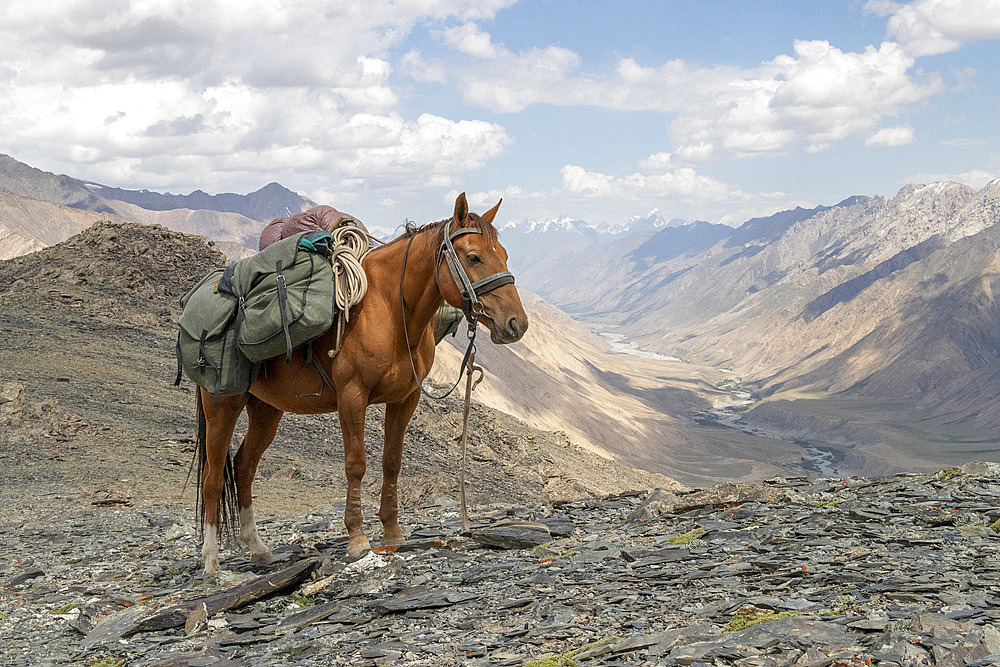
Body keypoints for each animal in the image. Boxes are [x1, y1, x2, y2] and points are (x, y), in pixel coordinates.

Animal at [190, 193, 528, 576]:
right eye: (473, 257)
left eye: (504, 254)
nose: (516, 324)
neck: (389, 310)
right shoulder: (352, 397)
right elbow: (356, 465)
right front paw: (357, 539)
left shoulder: (405, 399)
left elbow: (391, 462)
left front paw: (393, 531)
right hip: (222, 406)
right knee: (214, 476)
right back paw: (212, 561)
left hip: (266, 410)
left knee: (244, 467)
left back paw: (259, 549)